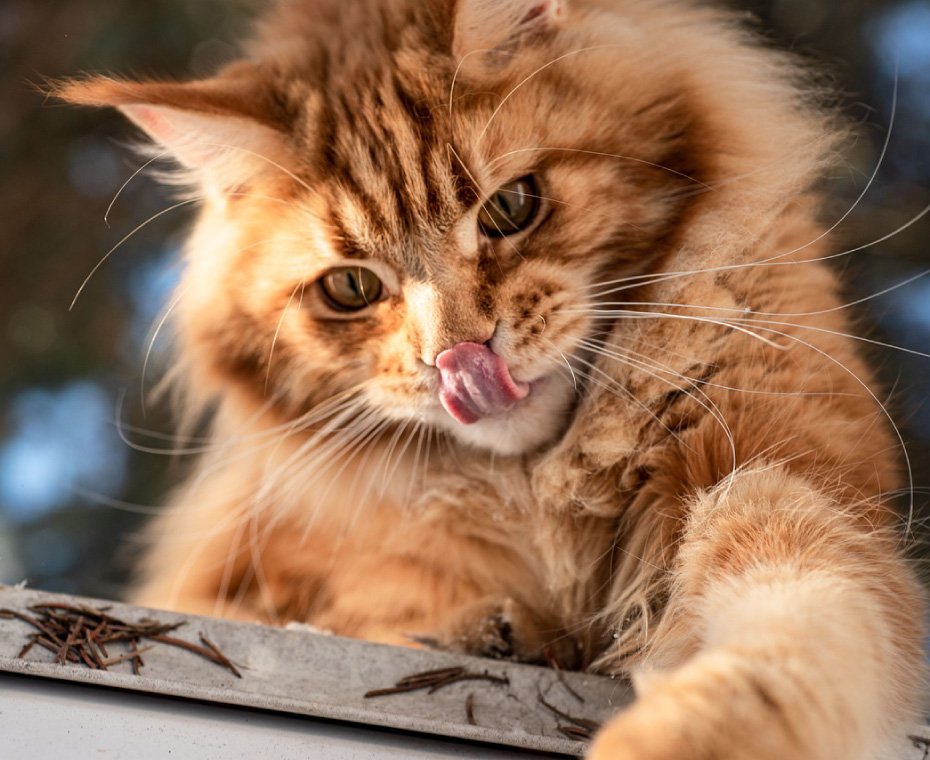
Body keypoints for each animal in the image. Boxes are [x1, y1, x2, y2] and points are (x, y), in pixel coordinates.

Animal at [58, 0, 920, 756]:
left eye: (511, 207)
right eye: (351, 288)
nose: (459, 358)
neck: (540, 490)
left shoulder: (768, 467)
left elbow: (787, 629)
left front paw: (688, 736)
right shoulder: (266, 573)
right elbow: (366, 609)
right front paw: (495, 631)